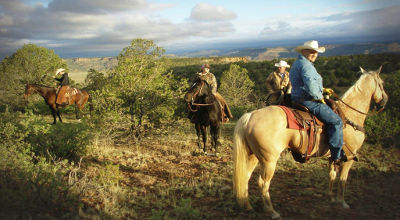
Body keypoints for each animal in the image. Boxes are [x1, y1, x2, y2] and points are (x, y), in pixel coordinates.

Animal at [233, 66, 390, 218]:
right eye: (382, 83)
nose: (385, 100)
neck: (350, 116)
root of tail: (250, 116)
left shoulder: (333, 157)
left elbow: (332, 175)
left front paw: (331, 198)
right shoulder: (350, 157)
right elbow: (342, 179)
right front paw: (342, 202)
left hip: (253, 156)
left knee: (246, 177)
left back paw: (247, 205)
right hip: (269, 161)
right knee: (263, 183)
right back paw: (272, 211)